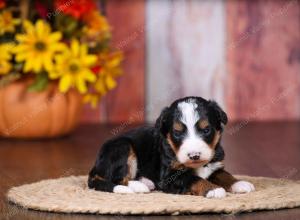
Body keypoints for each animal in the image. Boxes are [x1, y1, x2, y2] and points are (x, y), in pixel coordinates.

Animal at [88, 96, 254, 198]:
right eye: (177, 132)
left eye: (206, 130)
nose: (194, 155)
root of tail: (96, 165)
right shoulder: (170, 176)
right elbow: (193, 179)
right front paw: (213, 189)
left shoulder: (215, 164)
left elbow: (224, 175)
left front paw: (240, 183)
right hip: (122, 147)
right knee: (118, 178)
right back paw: (140, 186)